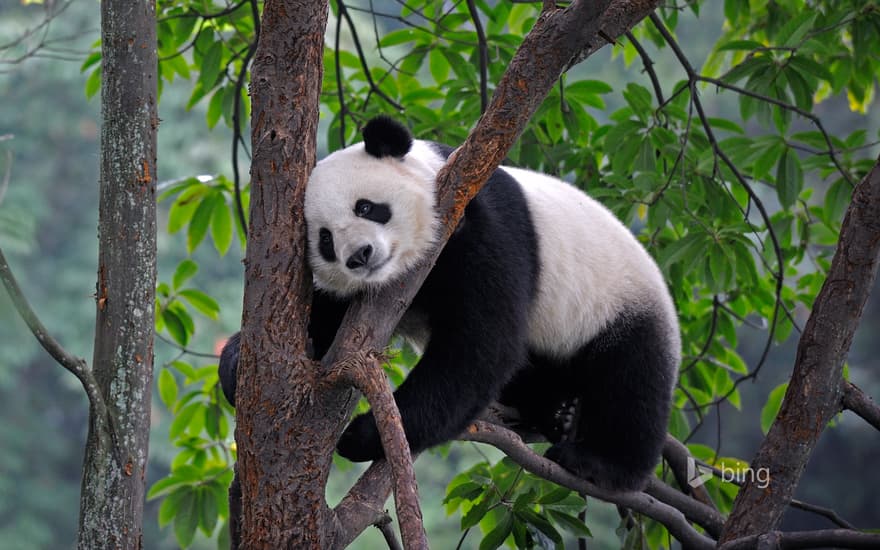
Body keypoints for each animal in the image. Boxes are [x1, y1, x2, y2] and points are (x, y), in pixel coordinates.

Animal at [218, 115, 680, 492]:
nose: (360, 256)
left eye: (367, 207)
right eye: (326, 240)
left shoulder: (480, 224)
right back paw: (555, 413)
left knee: (632, 378)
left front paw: (364, 434)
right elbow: (326, 319)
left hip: (619, 301)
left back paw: (598, 462)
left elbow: (480, 344)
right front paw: (238, 366)